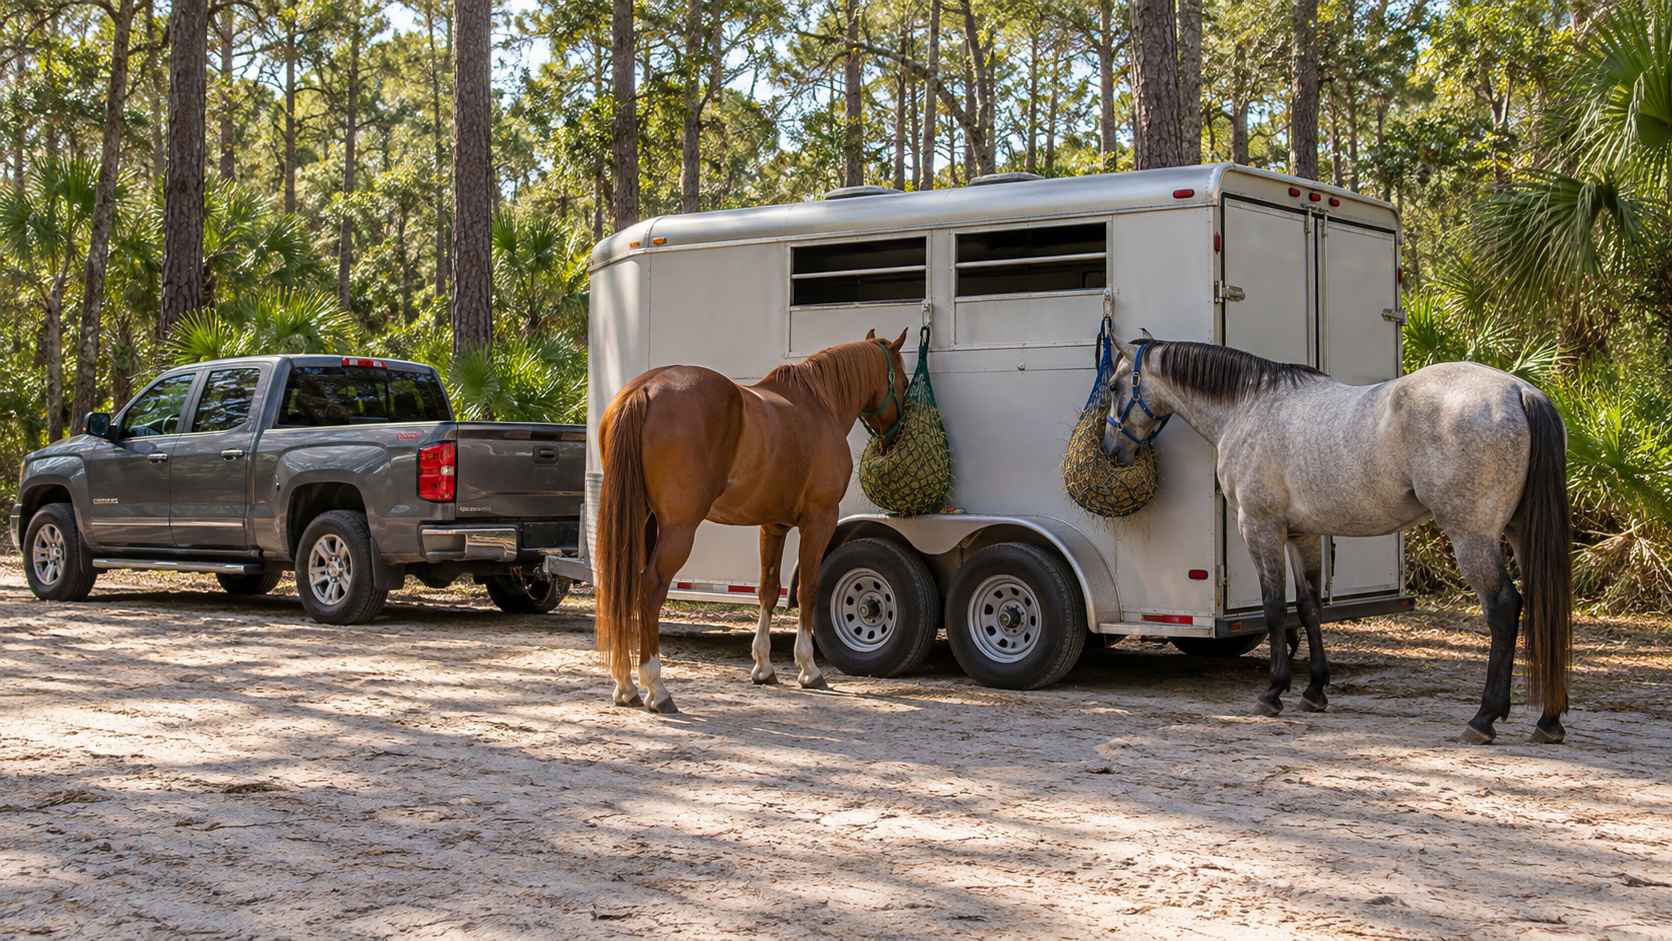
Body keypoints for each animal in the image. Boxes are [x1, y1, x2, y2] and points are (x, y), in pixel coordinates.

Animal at [593, 330, 909, 713]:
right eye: (905, 380)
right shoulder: (819, 519)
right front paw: (809, 669)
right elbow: (808, 589)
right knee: (650, 588)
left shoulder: (772, 525)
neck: (820, 404)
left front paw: (763, 667)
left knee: (623, 587)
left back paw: (625, 686)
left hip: (639, 520)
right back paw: (657, 688)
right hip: (678, 529)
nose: (896, 434)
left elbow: (768, 591)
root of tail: (645, 390)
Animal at [1102, 336, 1572, 745]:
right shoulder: (1303, 534)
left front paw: (1272, 693)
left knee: (1504, 609)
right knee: (1541, 604)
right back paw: (1548, 721)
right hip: (1520, 534)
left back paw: (1483, 718)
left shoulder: (1260, 527)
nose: (1111, 451)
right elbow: (1309, 608)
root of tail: (1519, 391)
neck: (1247, 407)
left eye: (1113, 385)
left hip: (1472, 538)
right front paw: (1314, 692)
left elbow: (1274, 607)